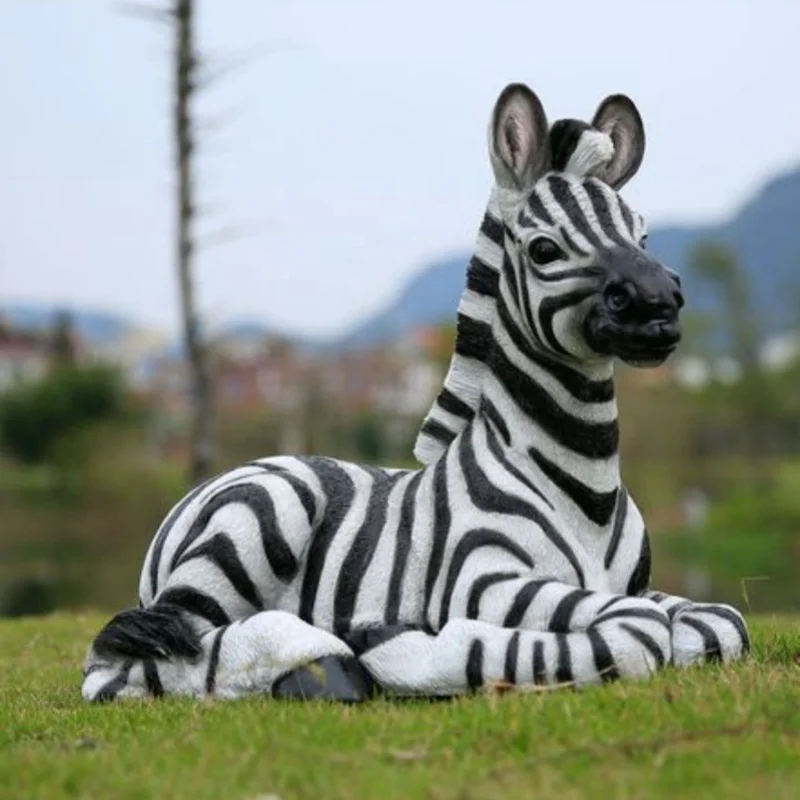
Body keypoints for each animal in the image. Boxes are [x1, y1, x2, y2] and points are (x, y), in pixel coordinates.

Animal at [82, 82, 750, 703]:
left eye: (643, 235)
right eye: (544, 249)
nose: (660, 305)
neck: (587, 493)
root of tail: (203, 488)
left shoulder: (637, 587)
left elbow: (721, 621)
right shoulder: (485, 582)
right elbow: (638, 634)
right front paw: (402, 649)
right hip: (255, 520)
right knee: (124, 666)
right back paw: (325, 659)